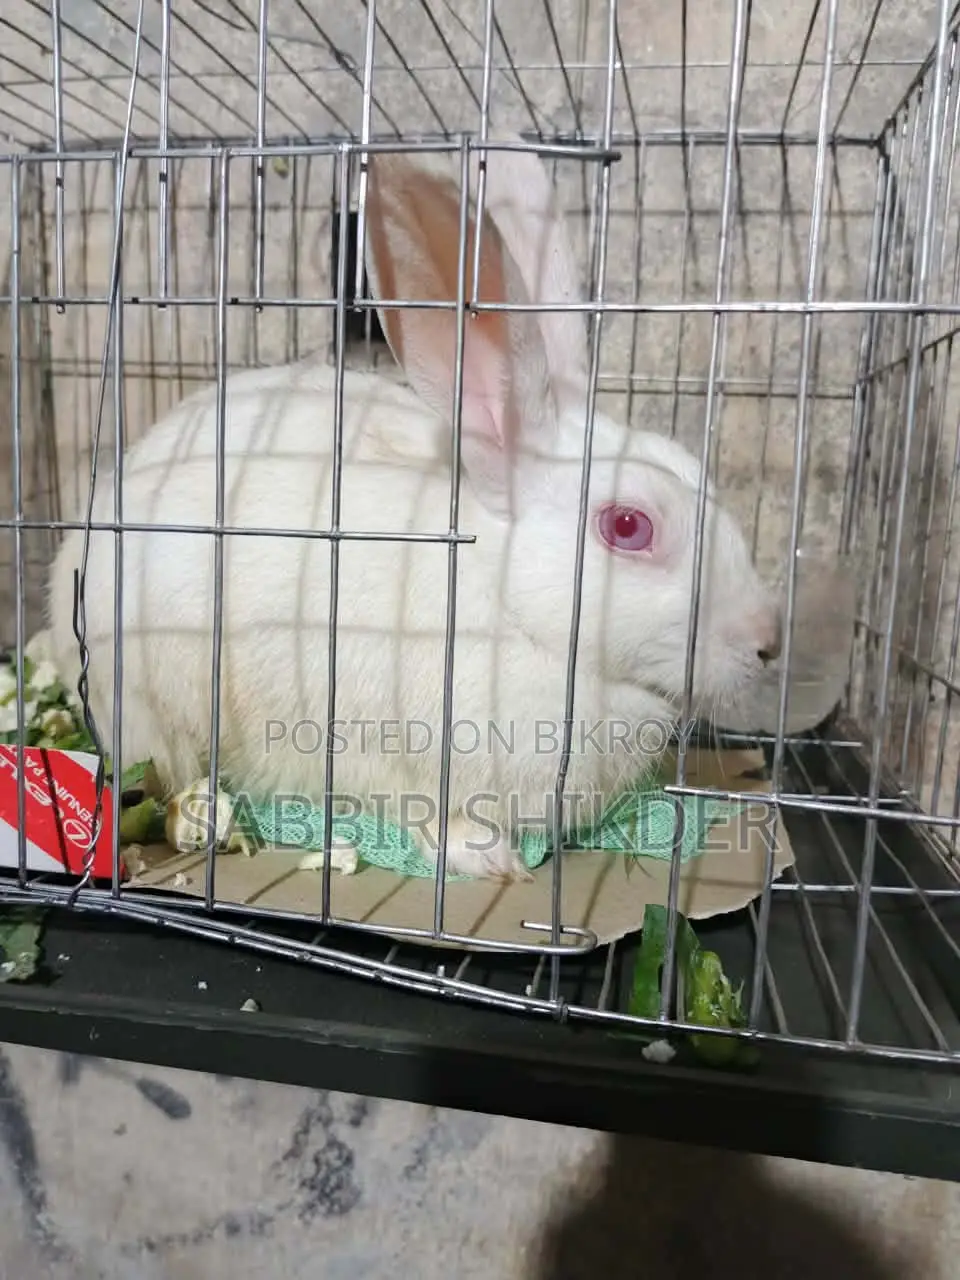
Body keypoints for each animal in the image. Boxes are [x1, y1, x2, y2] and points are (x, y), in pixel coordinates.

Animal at [45, 138, 782, 883]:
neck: (513, 613)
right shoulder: (379, 753)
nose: (768, 642)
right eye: (629, 526)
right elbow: (428, 815)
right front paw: (491, 859)